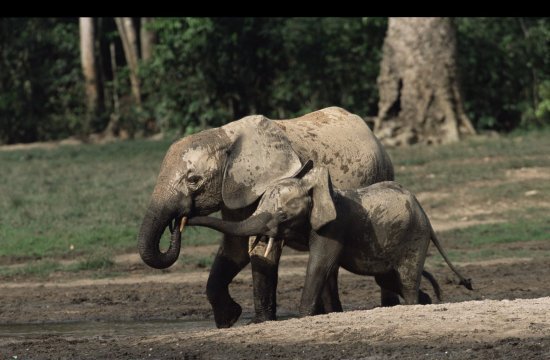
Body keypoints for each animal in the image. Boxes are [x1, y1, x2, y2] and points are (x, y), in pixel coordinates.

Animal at [138, 105, 396, 328]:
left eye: (193, 180)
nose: (178, 223)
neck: (225, 137)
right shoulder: (235, 189)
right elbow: (234, 248)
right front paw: (228, 320)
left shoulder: (269, 186)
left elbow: (260, 247)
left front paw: (258, 322)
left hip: (383, 172)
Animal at [188, 162, 472, 316]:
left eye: (282, 215)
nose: (183, 220)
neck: (316, 188)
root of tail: (427, 217)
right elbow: (325, 269)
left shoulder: (335, 227)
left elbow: (319, 264)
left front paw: (303, 316)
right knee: (388, 278)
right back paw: (426, 302)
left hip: (414, 237)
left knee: (407, 278)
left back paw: (414, 304)